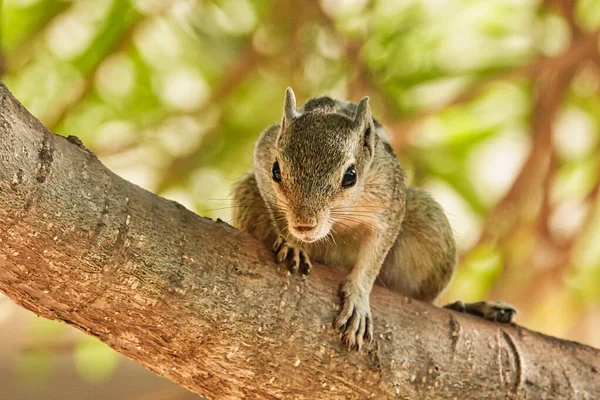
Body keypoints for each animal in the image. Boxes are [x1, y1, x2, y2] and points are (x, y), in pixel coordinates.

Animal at [231, 87, 516, 350]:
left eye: (350, 176)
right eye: (276, 171)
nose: (304, 225)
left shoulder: (389, 198)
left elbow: (374, 256)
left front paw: (358, 298)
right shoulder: (264, 151)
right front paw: (292, 243)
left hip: (430, 225)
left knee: (428, 300)